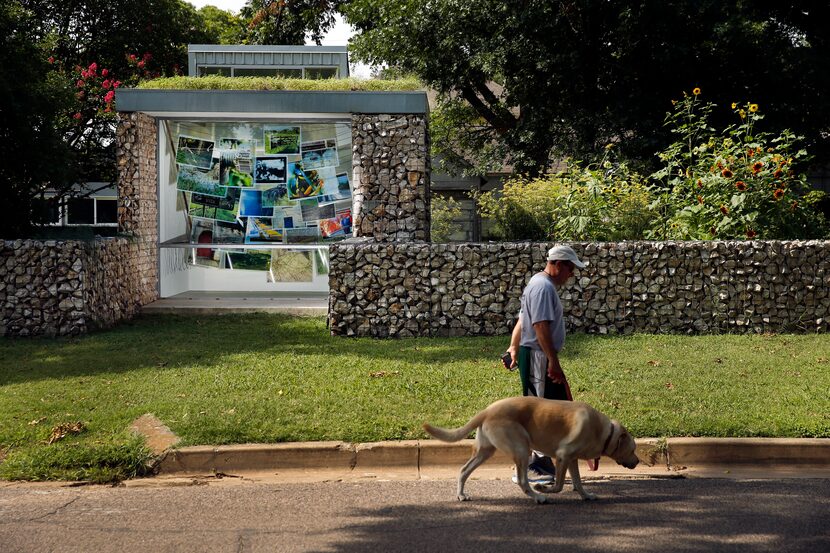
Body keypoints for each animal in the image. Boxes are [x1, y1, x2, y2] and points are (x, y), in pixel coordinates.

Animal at [426, 394, 640, 502]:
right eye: (633, 449)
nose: (638, 461)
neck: (605, 433)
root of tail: (487, 410)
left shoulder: (571, 460)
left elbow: (578, 483)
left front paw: (586, 495)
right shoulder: (563, 456)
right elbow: (559, 485)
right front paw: (543, 488)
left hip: (485, 451)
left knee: (463, 470)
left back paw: (461, 494)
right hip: (522, 449)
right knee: (522, 481)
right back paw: (537, 496)